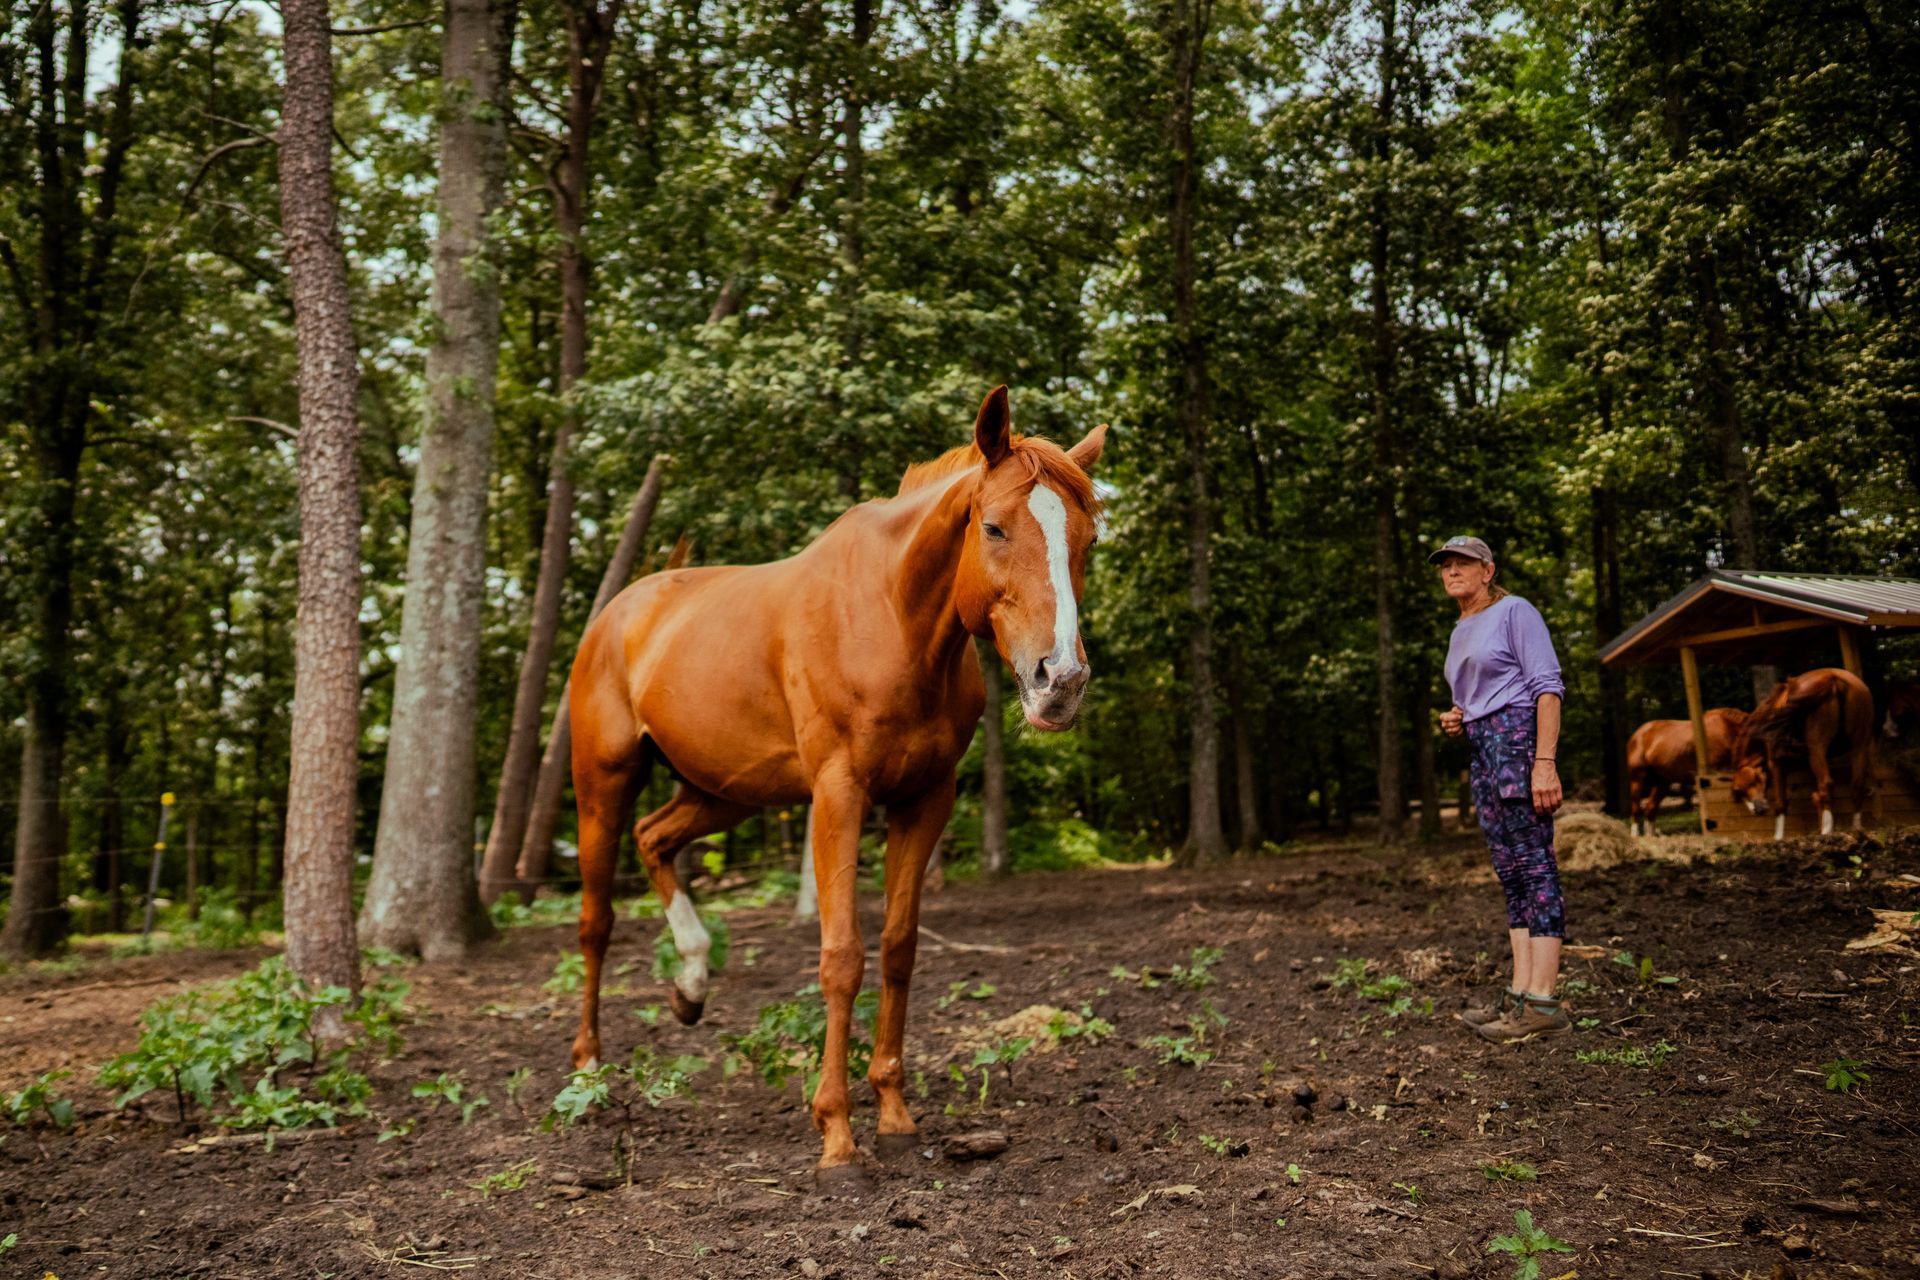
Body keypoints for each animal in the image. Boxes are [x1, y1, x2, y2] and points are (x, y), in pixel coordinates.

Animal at [564, 386, 1106, 1184]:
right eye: (994, 527)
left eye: (1088, 541)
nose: (1059, 681)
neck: (894, 621)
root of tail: (622, 610)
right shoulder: (839, 795)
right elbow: (842, 958)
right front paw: (838, 1137)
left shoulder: (925, 800)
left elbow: (899, 947)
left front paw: (896, 1114)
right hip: (603, 782)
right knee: (596, 920)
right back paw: (589, 1069)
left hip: (723, 792)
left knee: (655, 838)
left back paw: (692, 982)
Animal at [1624, 708, 1747, 836]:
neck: (1727, 730)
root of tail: (1636, 735)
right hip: (1637, 779)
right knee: (1636, 808)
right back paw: (1635, 834)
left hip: (1662, 783)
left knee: (1650, 808)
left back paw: (1650, 836)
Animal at [1728, 667, 1874, 839]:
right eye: (1739, 790)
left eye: (1755, 778)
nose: (1758, 809)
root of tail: (1833, 677)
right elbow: (1817, 796)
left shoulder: (1776, 762)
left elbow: (1781, 802)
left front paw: (1778, 837)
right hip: (1859, 746)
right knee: (1857, 784)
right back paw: (1856, 829)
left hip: (1817, 749)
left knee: (1826, 783)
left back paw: (1827, 831)